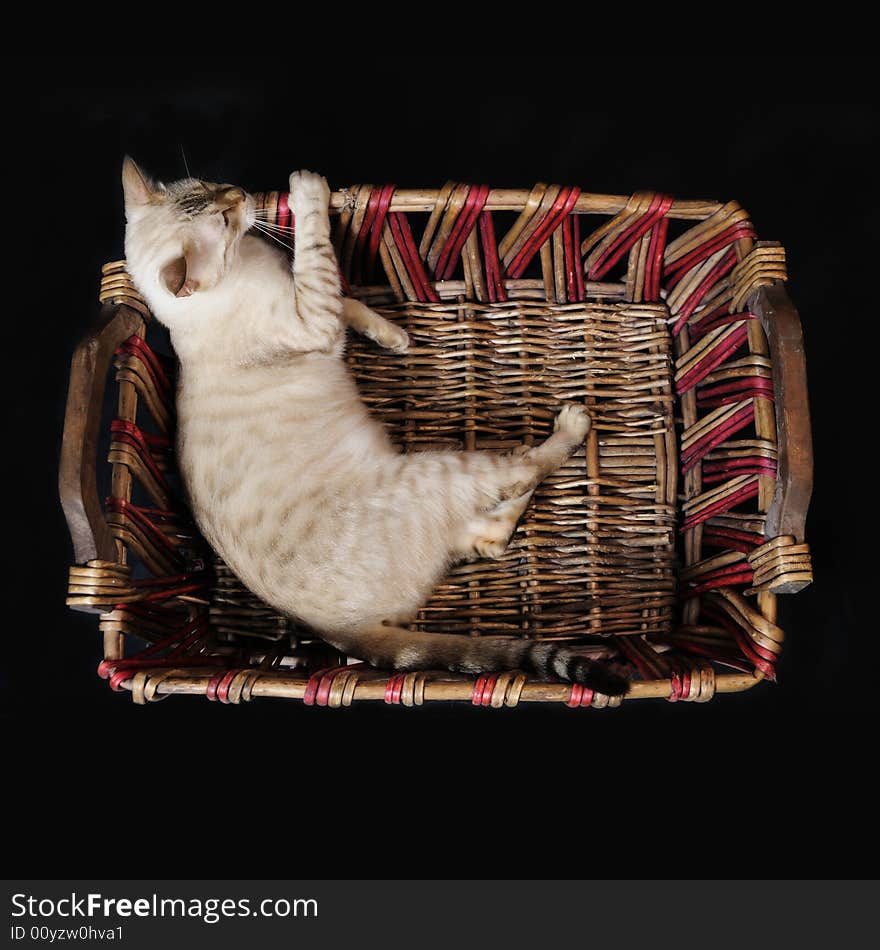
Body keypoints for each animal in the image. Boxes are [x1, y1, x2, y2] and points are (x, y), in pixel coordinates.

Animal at [124, 158, 628, 700]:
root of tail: (339, 631)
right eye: (221, 219)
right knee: (518, 475)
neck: (244, 265)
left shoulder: (323, 307)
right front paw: (307, 191)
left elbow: (350, 302)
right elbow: (318, 255)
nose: (239, 193)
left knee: (493, 538)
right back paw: (572, 424)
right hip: (437, 471)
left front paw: (395, 337)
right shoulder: (313, 315)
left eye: (211, 188)